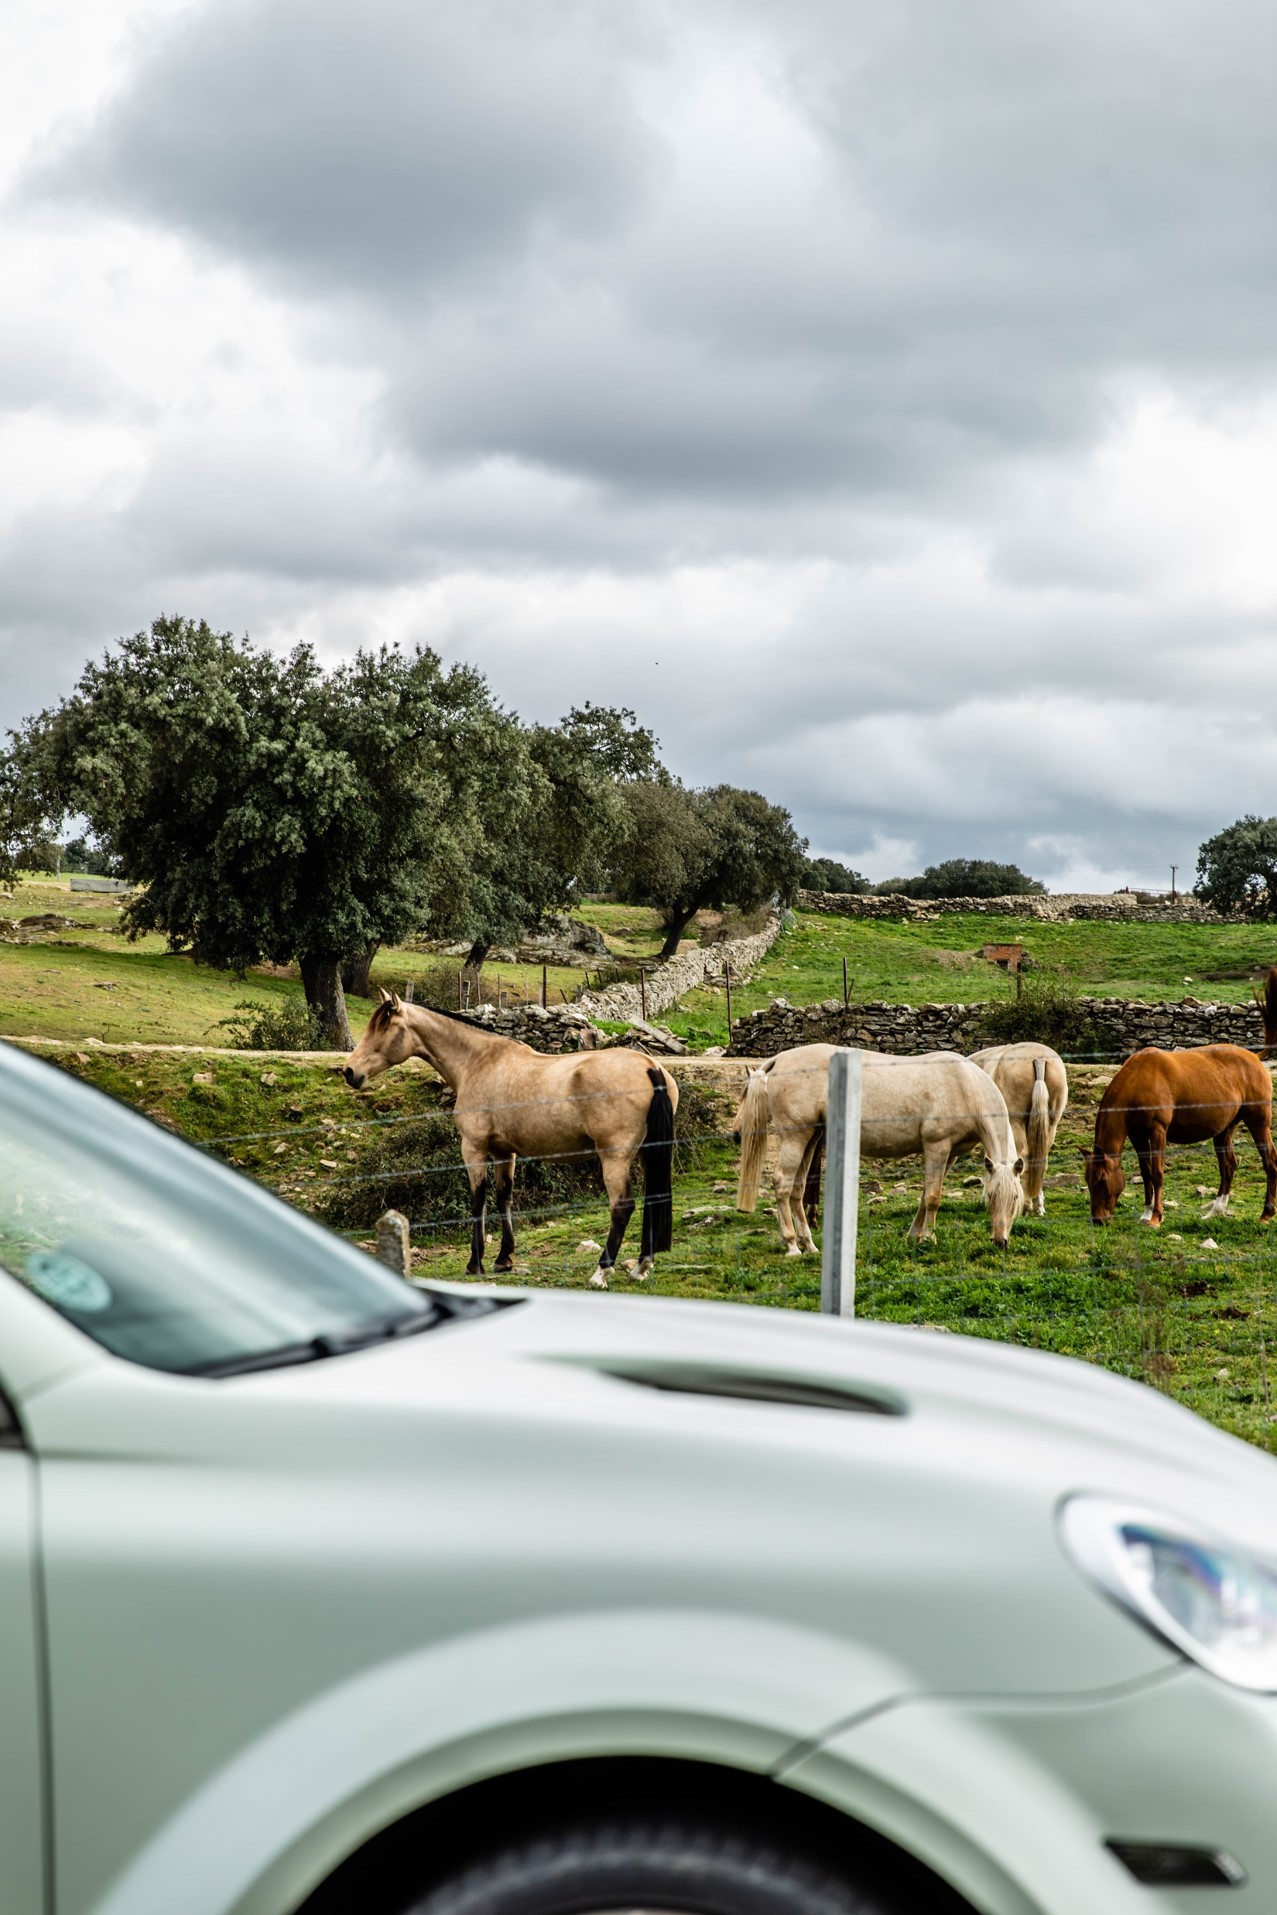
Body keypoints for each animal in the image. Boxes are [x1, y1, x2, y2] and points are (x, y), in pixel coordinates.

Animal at [344, 992, 678, 1286]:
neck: (478, 1061)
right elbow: (504, 1196)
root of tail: (651, 1067)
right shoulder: (504, 1152)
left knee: (622, 1207)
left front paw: (474, 1263)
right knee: (653, 1199)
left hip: (614, 1157)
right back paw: (641, 1267)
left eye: (383, 1027)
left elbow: (477, 1199)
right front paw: (504, 1258)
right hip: (646, 1153)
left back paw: (601, 1273)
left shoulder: (474, 1148)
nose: (349, 1071)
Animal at [734, 1044, 1024, 1253]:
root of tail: (779, 1059)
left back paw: (810, 1246)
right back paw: (792, 1245)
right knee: (782, 1184)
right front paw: (929, 1238)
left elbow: (925, 1195)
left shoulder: (950, 1154)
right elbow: (933, 1197)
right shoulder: (937, 1147)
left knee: (797, 1190)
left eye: (1015, 1198)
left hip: (811, 1139)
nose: (1000, 1241)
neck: (965, 1086)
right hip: (795, 1138)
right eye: (989, 1196)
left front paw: (914, 1235)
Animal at [969, 1041, 1069, 1215]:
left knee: (1024, 1159)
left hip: (1016, 1123)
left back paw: (1026, 1206)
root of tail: (1039, 1059)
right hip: (1050, 1124)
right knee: (1039, 1161)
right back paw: (1037, 1205)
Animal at [1083, 1044, 1277, 1227]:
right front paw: (1146, 1214)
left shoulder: (1158, 1132)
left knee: (1269, 1161)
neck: (1139, 1079)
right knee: (1228, 1166)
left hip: (1258, 1123)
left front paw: (1156, 1218)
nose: (1098, 1219)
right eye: (1088, 1180)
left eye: (1102, 1179)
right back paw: (1216, 1211)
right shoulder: (1137, 1136)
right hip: (1224, 1131)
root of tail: (1254, 1057)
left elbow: (1157, 1174)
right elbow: (1146, 1174)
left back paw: (1266, 1214)